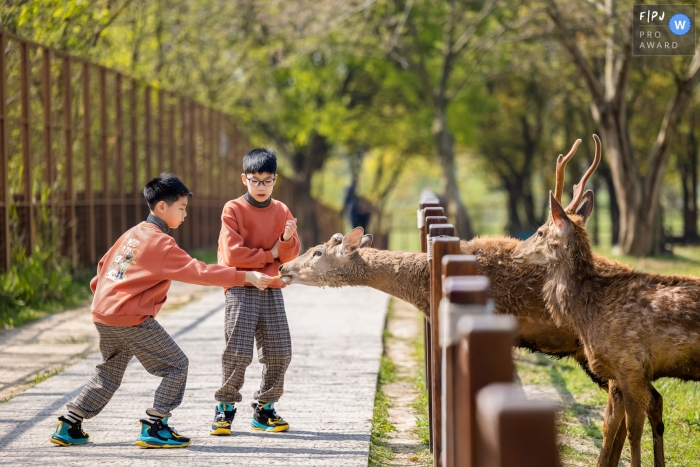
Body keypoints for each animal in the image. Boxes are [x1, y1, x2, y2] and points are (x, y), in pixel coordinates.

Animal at [278, 137, 668, 466]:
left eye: (317, 252)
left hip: (606, 354)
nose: (283, 267)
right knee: (646, 401)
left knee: (627, 407)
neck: (421, 287)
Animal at [508, 133, 700, 466]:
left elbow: (632, 429)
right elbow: (614, 426)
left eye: (540, 231)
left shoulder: (629, 364)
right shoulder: (620, 372)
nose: (514, 251)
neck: (590, 313)